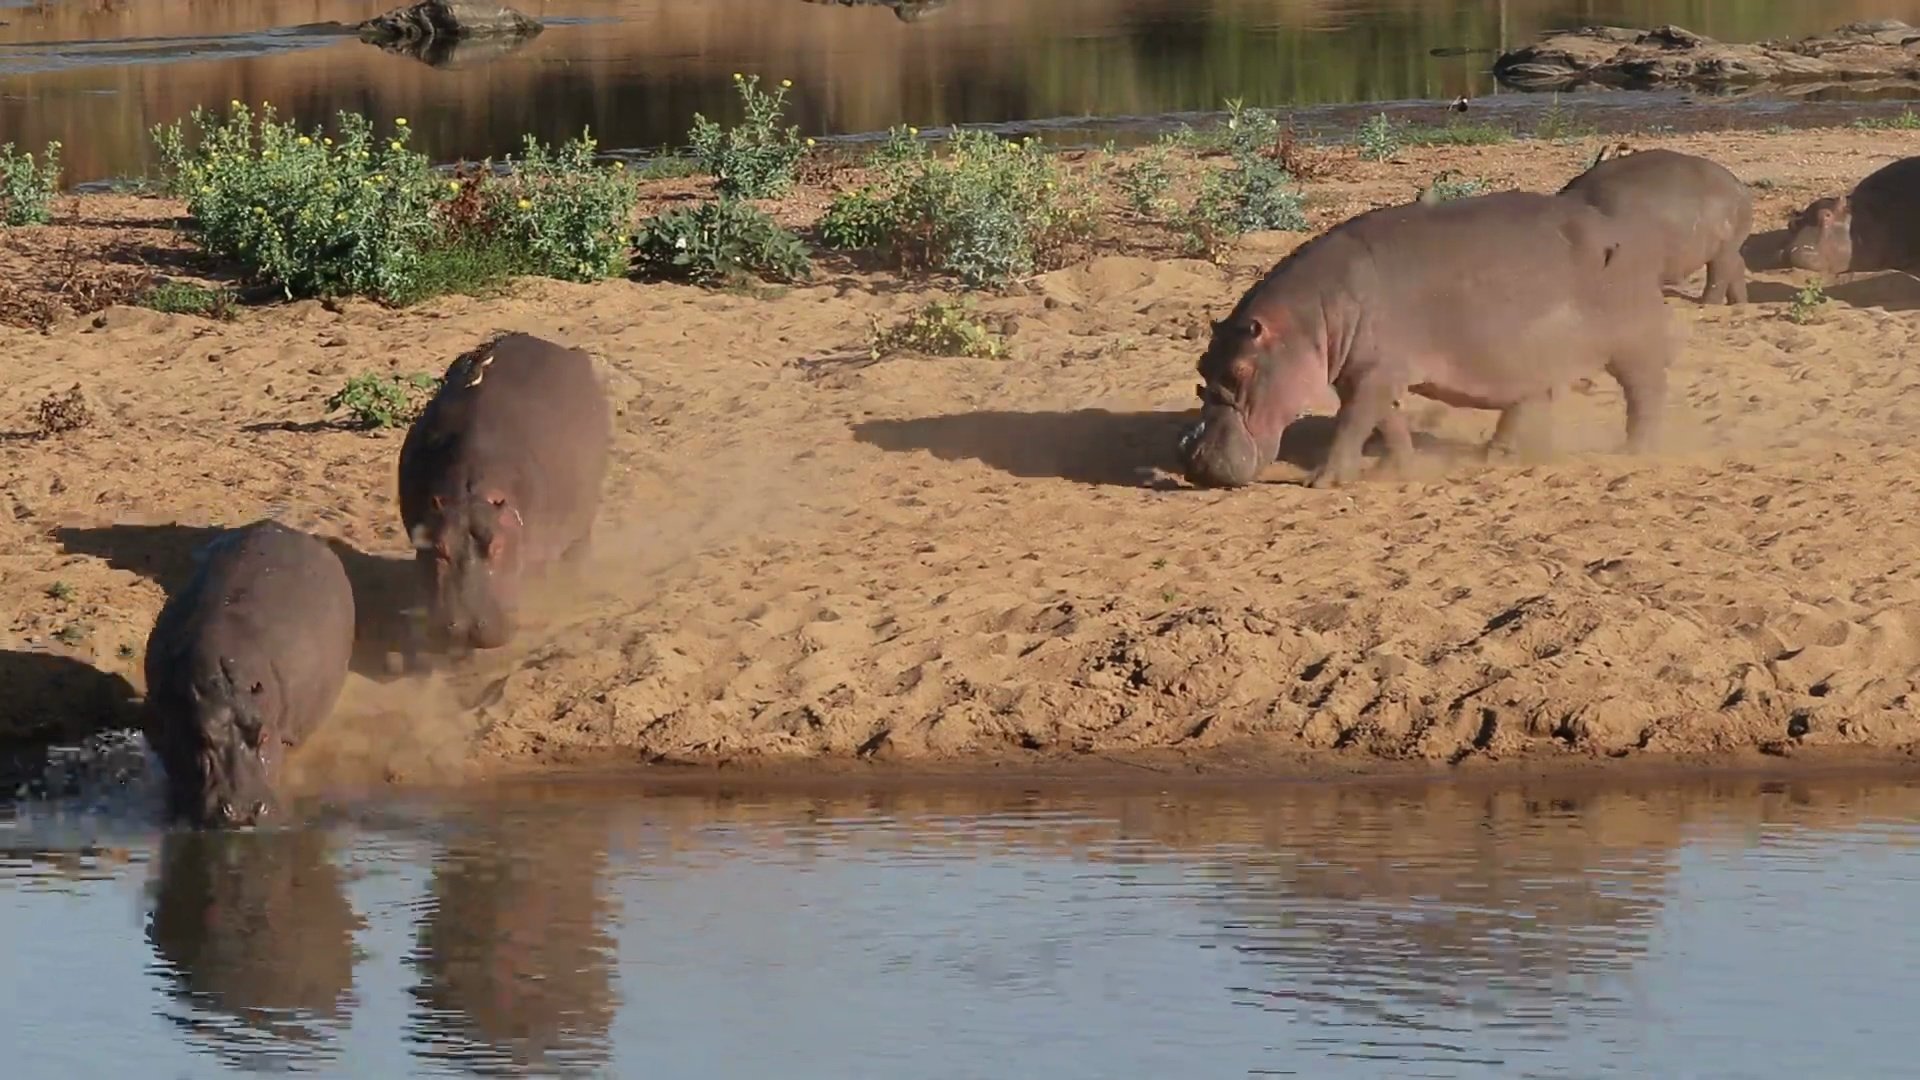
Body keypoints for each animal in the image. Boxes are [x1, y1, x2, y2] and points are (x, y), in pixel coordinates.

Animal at [1175, 189, 1674, 488]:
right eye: (1201, 365)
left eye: (1239, 371)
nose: (1195, 460)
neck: (1306, 319)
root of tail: (1623, 231)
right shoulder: (1364, 375)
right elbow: (1386, 421)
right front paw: (1395, 468)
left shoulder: (1373, 375)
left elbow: (1351, 424)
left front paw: (1323, 481)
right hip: (1533, 356)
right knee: (1529, 400)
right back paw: (1495, 456)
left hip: (1633, 344)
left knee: (1645, 393)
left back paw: (1636, 449)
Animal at [1559, 145, 1758, 299]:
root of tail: (1739, 186)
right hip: (1728, 249)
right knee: (1737, 268)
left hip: (1723, 251)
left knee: (1718, 279)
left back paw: (1707, 303)